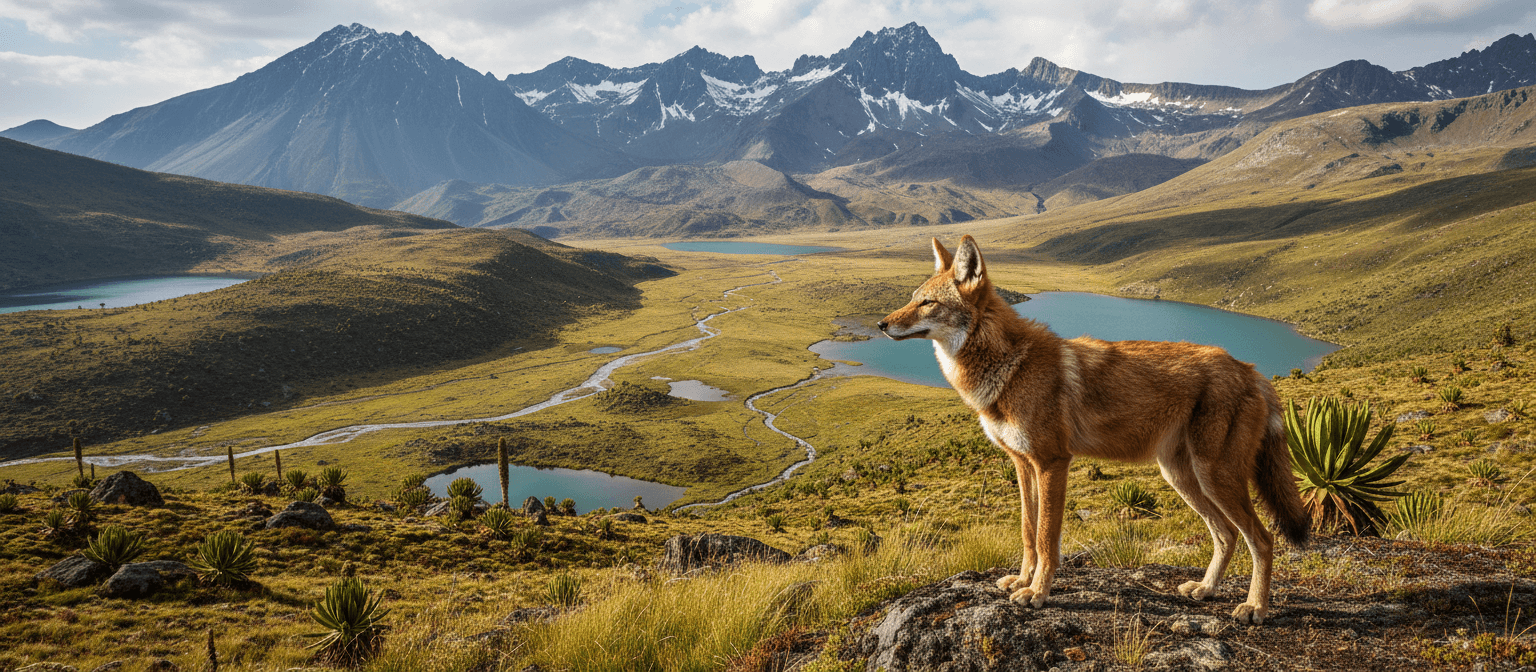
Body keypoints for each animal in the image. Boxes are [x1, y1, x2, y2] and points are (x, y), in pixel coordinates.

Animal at [877, 235, 1310, 624]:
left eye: (927, 302)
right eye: (912, 297)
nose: (881, 324)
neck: (1010, 365)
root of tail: (1251, 370)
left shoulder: (1053, 462)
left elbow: (1047, 539)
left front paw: (1037, 593)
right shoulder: (1023, 465)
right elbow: (1027, 532)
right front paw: (1021, 580)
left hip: (1215, 476)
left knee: (1262, 539)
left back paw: (1255, 608)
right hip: (1183, 477)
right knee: (1226, 535)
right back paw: (1205, 589)